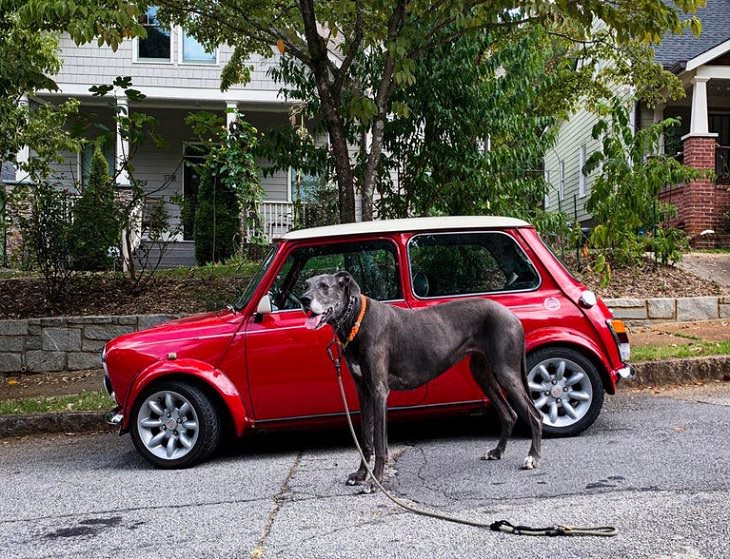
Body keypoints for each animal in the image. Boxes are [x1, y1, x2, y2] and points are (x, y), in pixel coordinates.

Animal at [298, 274, 544, 492]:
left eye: (325, 286)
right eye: (306, 285)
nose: (304, 300)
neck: (357, 318)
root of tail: (512, 316)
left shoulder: (379, 391)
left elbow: (379, 442)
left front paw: (375, 482)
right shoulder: (363, 391)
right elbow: (366, 438)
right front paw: (360, 475)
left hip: (506, 372)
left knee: (535, 415)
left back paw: (532, 457)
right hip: (482, 373)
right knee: (509, 414)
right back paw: (497, 451)